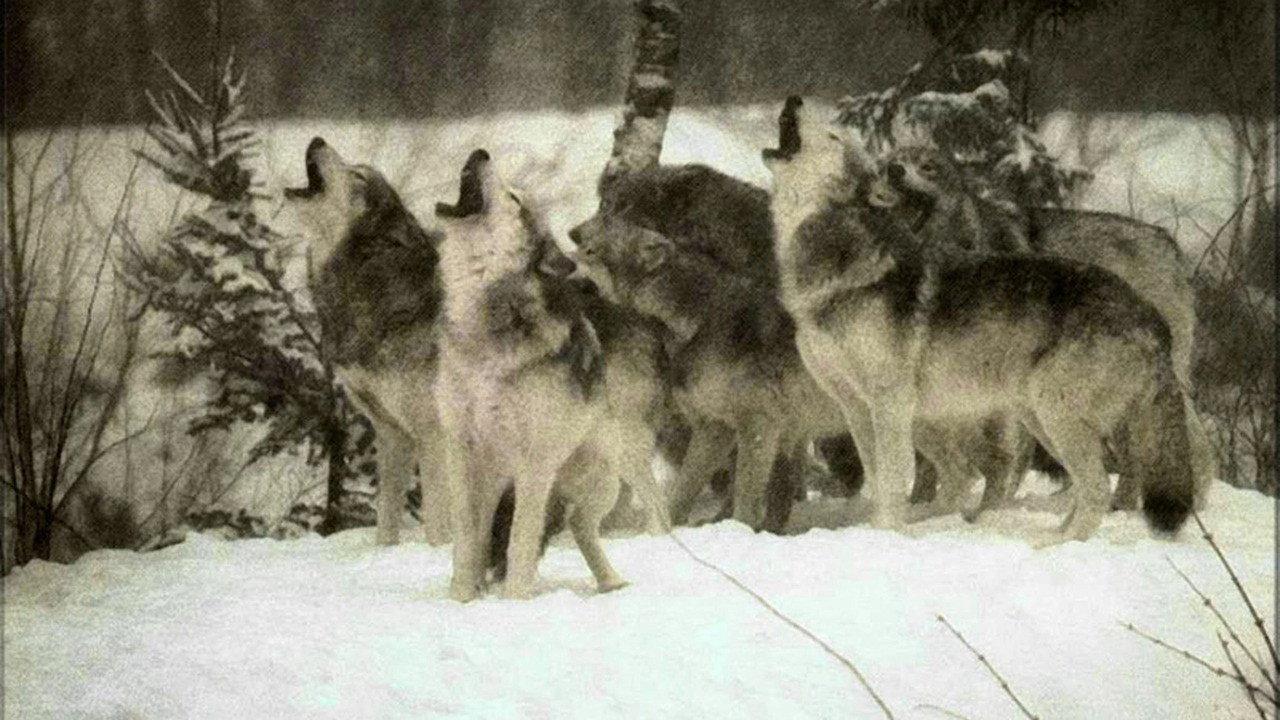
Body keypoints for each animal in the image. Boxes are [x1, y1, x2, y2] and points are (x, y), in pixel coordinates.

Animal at [432, 149, 667, 601]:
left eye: (514, 198)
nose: (480, 153)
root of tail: (633, 316)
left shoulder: (534, 462)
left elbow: (520, 540)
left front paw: (513, 602)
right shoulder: (461, 453)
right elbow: (467, 541)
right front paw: (461, 600)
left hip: (613, 471)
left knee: (644, 515)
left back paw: (625, 576)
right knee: (570, 526)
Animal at [763, 98, 1196, 541]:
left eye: (833, 134)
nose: (794, 100)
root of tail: (1150, 316)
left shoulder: (890, 403)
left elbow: (893, 479)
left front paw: (888, 534)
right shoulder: (856, 407)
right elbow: (879, 479)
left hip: (1054, 415)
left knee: (1095, 489)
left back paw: (1052, 545)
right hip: (1038, 421)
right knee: (1078, 488)